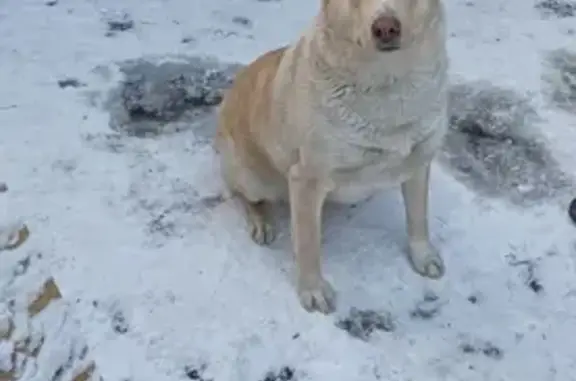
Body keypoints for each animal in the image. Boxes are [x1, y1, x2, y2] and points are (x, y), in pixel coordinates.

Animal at [216, 0, 450, 314]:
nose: (386, 28)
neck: (387, 87)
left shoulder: (419, 161)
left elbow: (418, 218)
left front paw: (423, 255)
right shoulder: (306, 178)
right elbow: (308, 245)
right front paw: (313, 290)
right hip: (252, 176)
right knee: (243, 195)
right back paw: (261, 220)